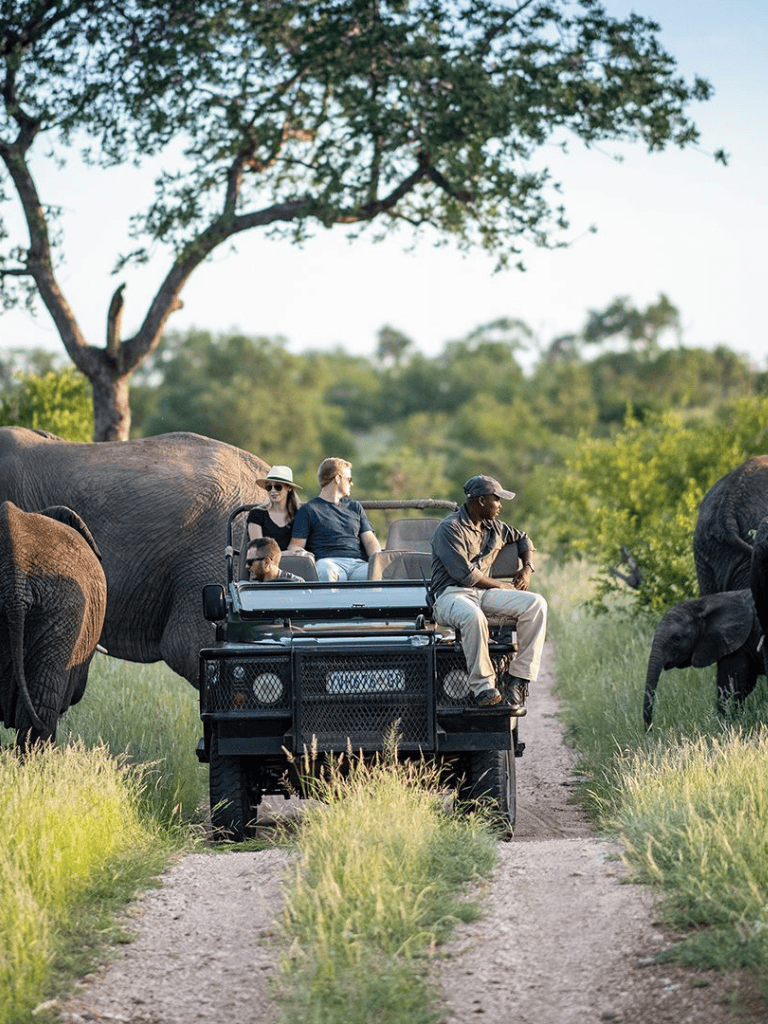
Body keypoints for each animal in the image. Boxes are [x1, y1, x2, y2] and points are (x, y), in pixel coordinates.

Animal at [643, 588, 763, 729]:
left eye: (677, 639)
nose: (650, 730)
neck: (703, 605)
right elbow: (744, 684)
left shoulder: (739, 642)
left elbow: (731, 683)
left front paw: (726, 722)